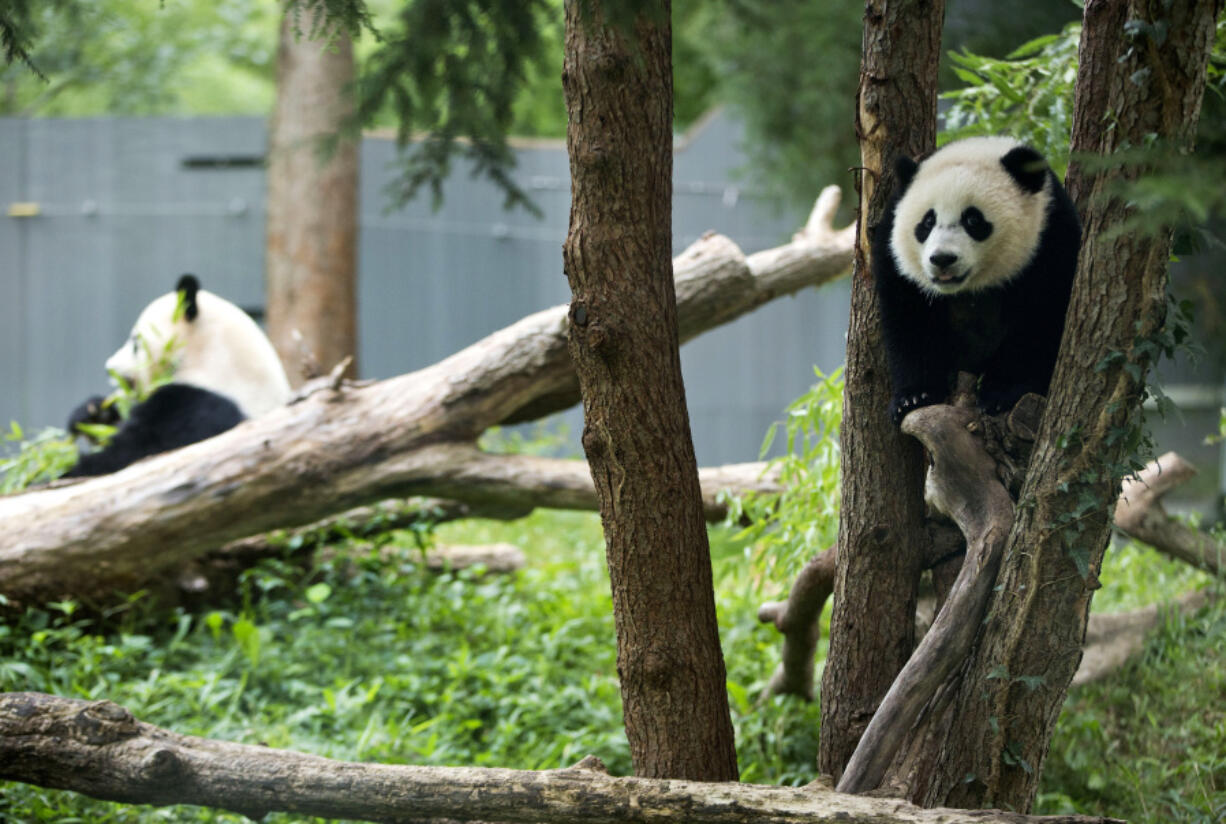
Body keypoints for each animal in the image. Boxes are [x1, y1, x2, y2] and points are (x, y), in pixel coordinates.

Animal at [872, 136, 1083, 424]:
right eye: (927, 222)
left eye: (973, 220)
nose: (942, 259)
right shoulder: (894, 258)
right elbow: (910, 321)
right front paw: (915, 397)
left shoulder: (1051, 239)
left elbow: (1040, 320)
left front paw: (1001, 394)